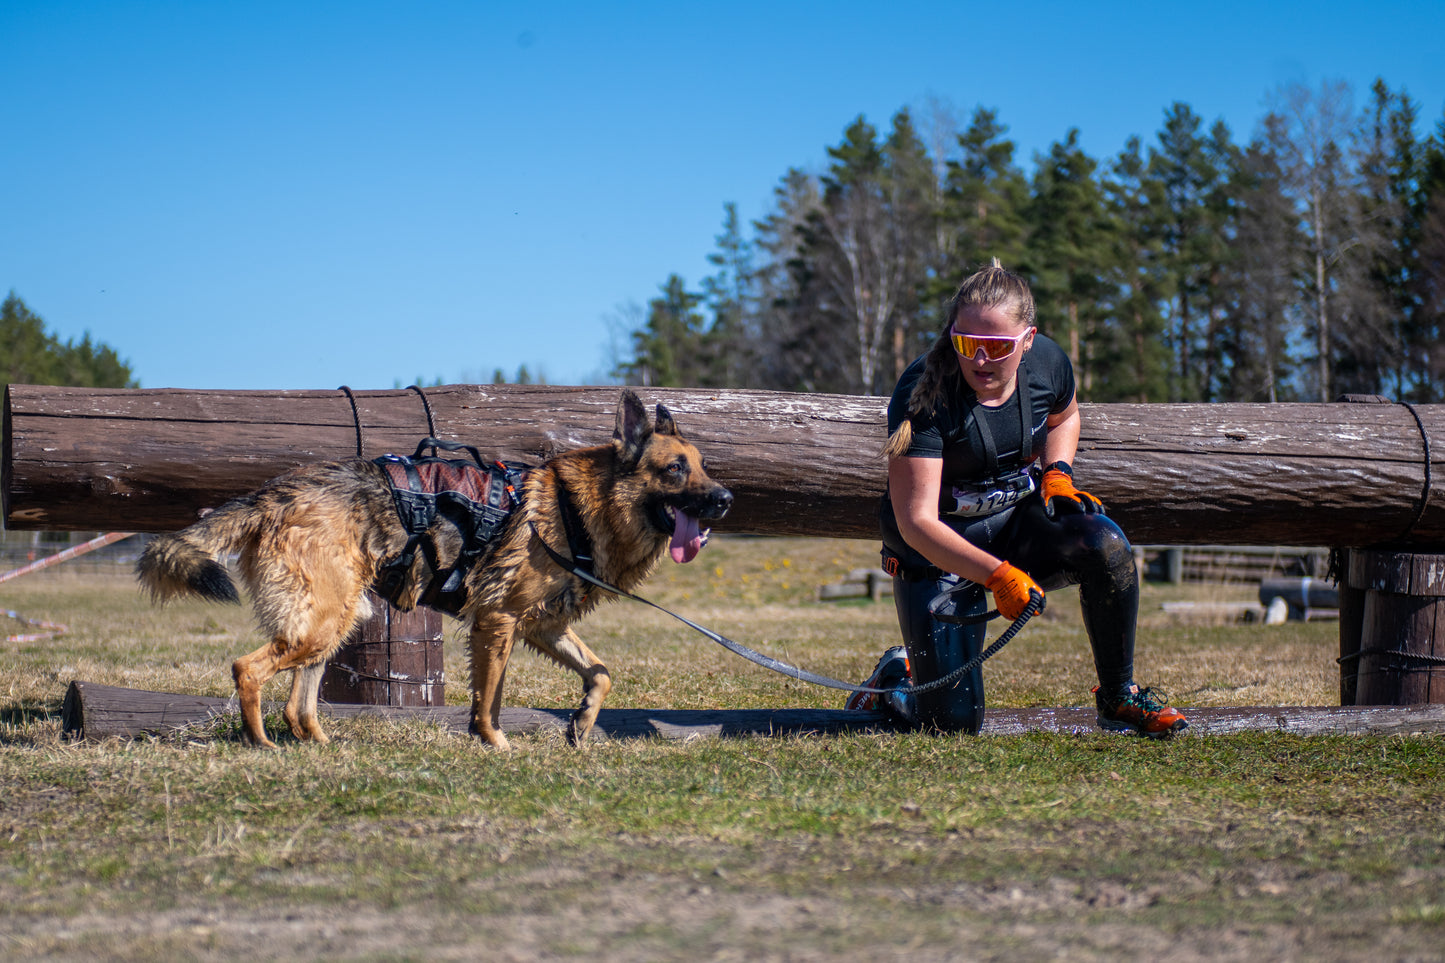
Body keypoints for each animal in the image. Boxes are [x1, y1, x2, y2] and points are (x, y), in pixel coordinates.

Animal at [137, 390, 734, 751]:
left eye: (704, 466)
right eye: (674, 469)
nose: (726, 500)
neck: (576, 506)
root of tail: (272, 493)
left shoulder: (541, 625)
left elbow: (600, 672)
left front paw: (583, 722)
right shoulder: (498, 622)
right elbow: (488, 699)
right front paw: (494, 745)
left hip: (336, 620)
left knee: (297, 704)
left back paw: (320, 746)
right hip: (322, 622)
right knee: (247, 669)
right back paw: (259, 745)